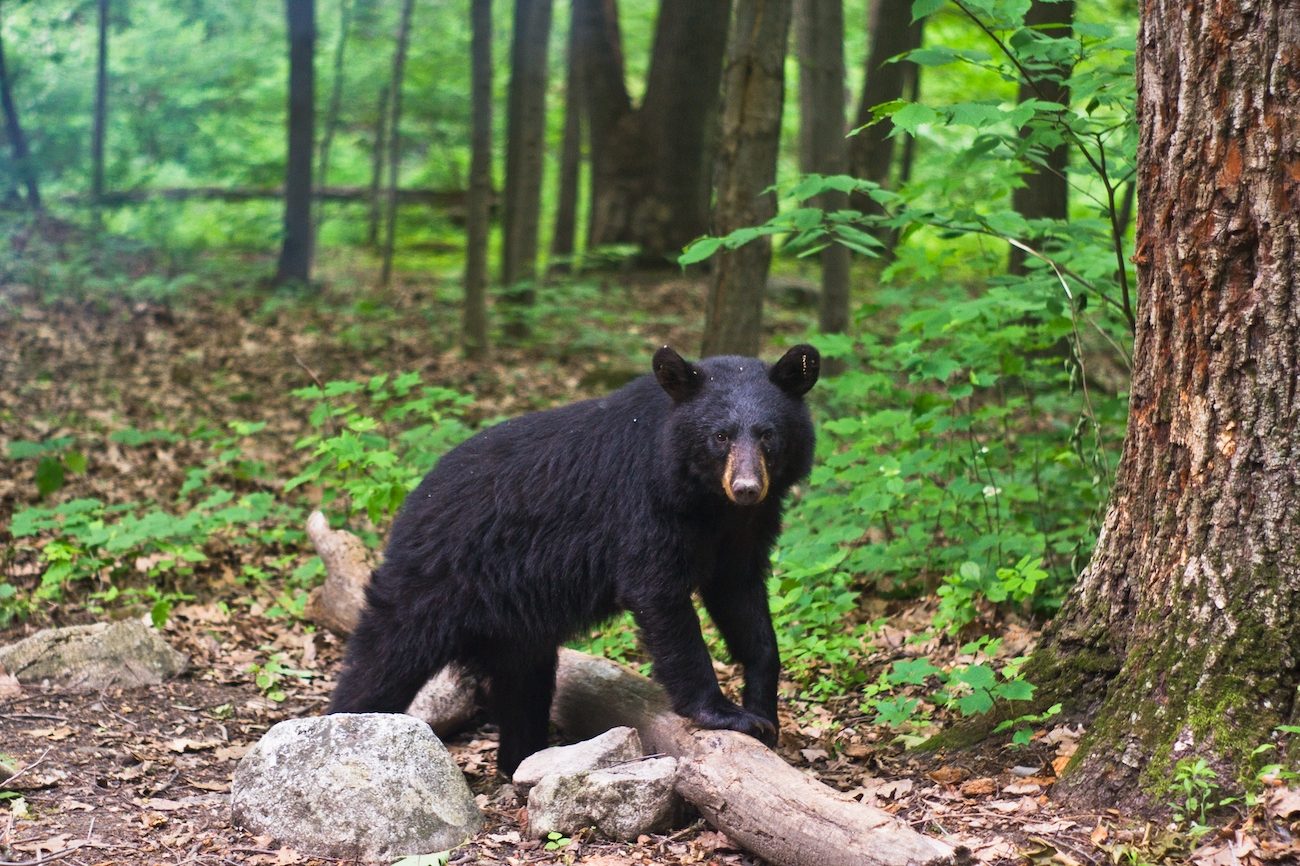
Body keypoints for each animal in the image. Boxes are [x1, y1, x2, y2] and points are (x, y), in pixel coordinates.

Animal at [330, 340, 816, 769]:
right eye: (720, 436)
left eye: (768, 435)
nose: (747, 487)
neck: (705, 500)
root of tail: (413, 502)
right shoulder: (645, 508)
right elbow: (659, 596)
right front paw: (722, 712)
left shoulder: (742, 530)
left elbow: (741, 597)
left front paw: (763, 712)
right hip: (432, 580)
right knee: (383, 659)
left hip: (515, 627)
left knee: (524, 685)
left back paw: (522, 757)